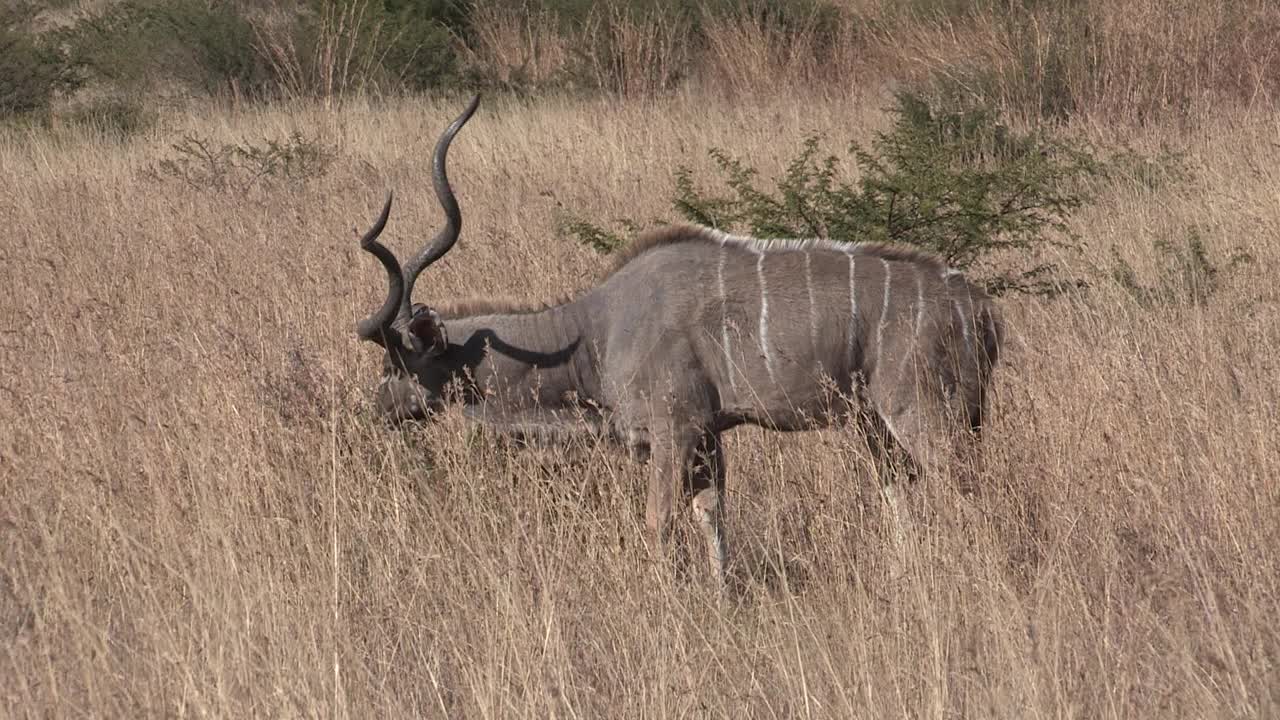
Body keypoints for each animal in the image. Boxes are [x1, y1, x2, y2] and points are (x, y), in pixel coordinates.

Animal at [355, 95, 1003, 579]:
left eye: (397, 364)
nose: (376, 411)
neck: (595, 330)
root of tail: (978, 307)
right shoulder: (710, 436)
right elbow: (712, 517)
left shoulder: (675, 429)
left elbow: (658, 522)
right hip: (877, 425)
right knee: (903, 498)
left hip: (925, 411)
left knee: (968, 493)